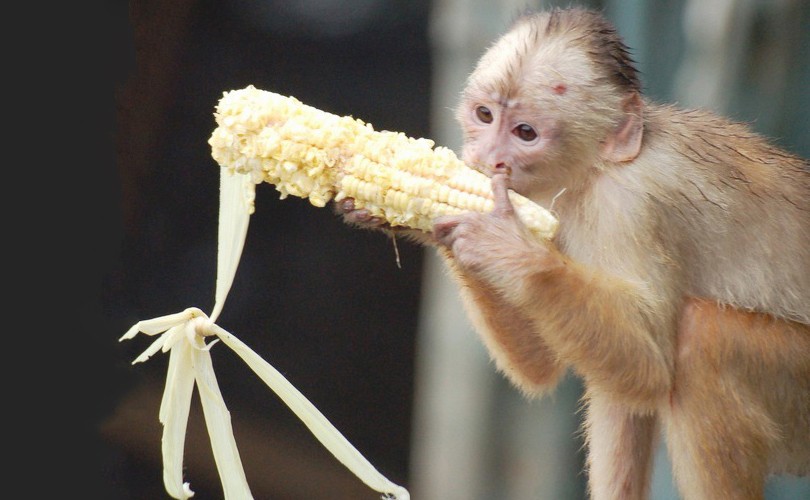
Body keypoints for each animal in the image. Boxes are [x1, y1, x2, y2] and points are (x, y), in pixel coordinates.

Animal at [336, 7, 810, 500]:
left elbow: (651, 366)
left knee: (701, 338)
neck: (596, 171)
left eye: (525, 132)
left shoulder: (629, 204)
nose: (488, 157)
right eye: (485, 115)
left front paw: (505, 247)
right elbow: (544, 368)